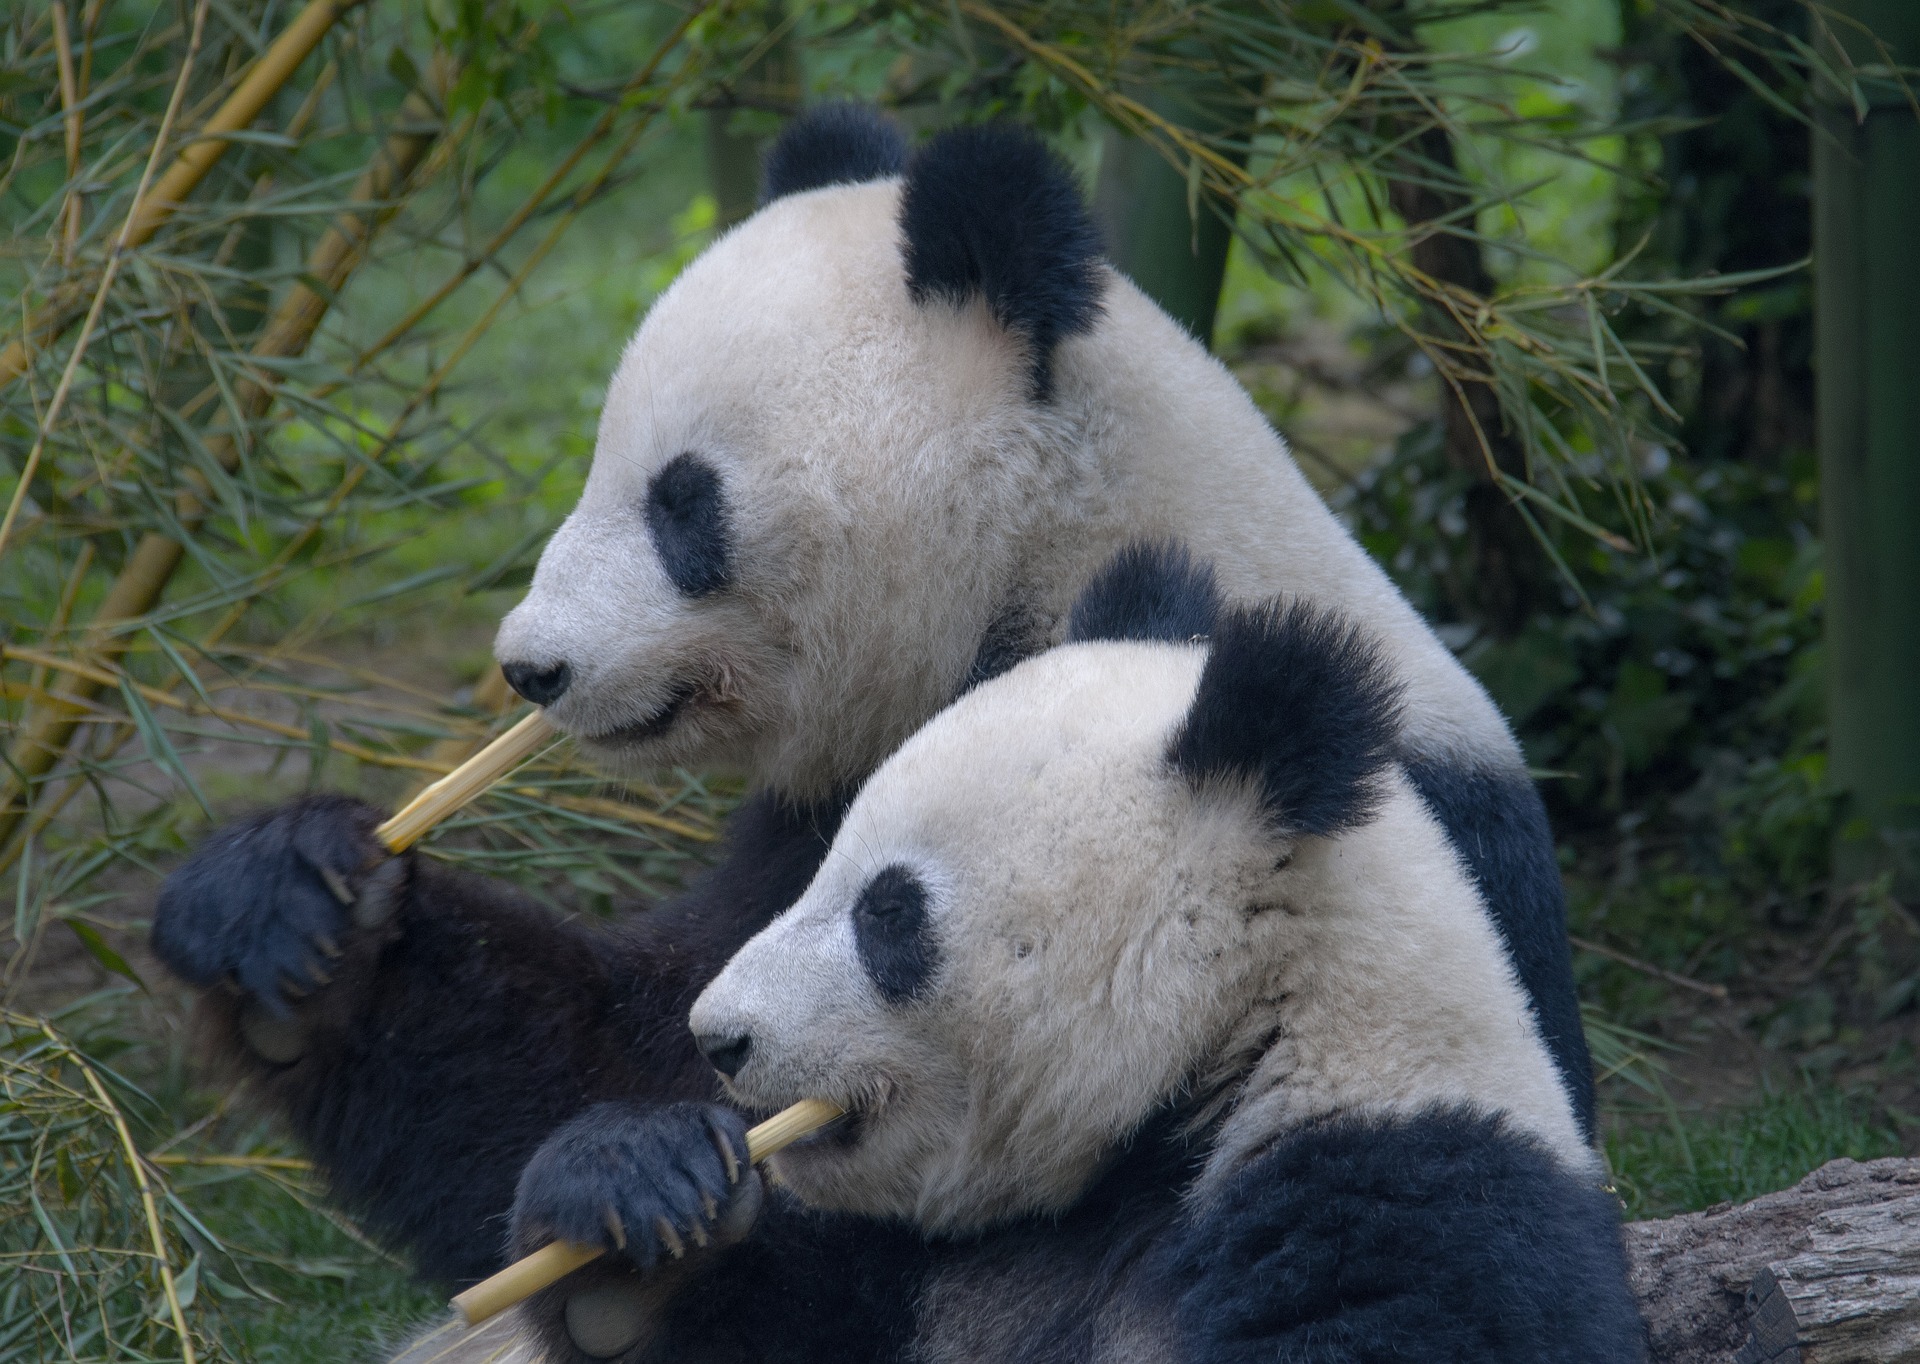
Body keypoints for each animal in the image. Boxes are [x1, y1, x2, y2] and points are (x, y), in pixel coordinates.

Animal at [503, 545, 1643, 1364]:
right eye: (823, 865)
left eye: (888, 913)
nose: (720, 1036)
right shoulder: (919, 1269)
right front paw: (634, 1204)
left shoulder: (1408, 1205)